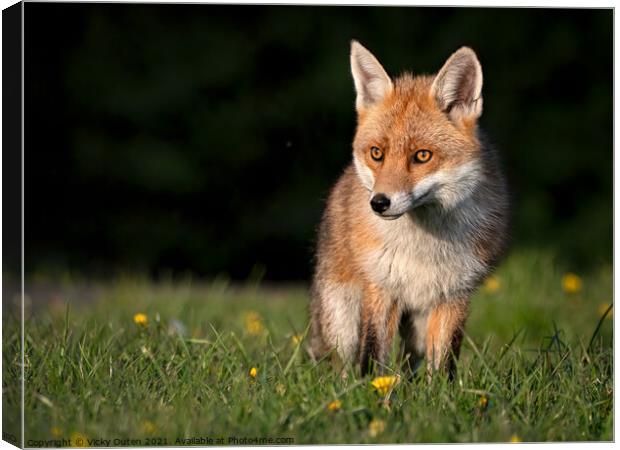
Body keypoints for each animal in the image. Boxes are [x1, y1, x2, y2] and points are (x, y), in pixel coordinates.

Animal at [308, 42, 508, 378]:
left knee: (410, 362)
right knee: (342, 363)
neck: (422, 249)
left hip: (417, 325)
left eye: (422, 156)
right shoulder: (381, 288)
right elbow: (372, 355)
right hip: (342, 317)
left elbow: (444, 364)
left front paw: (442, 391)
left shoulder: (454, 295)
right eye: (377, 153)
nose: (379, 202)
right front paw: (372, 388)